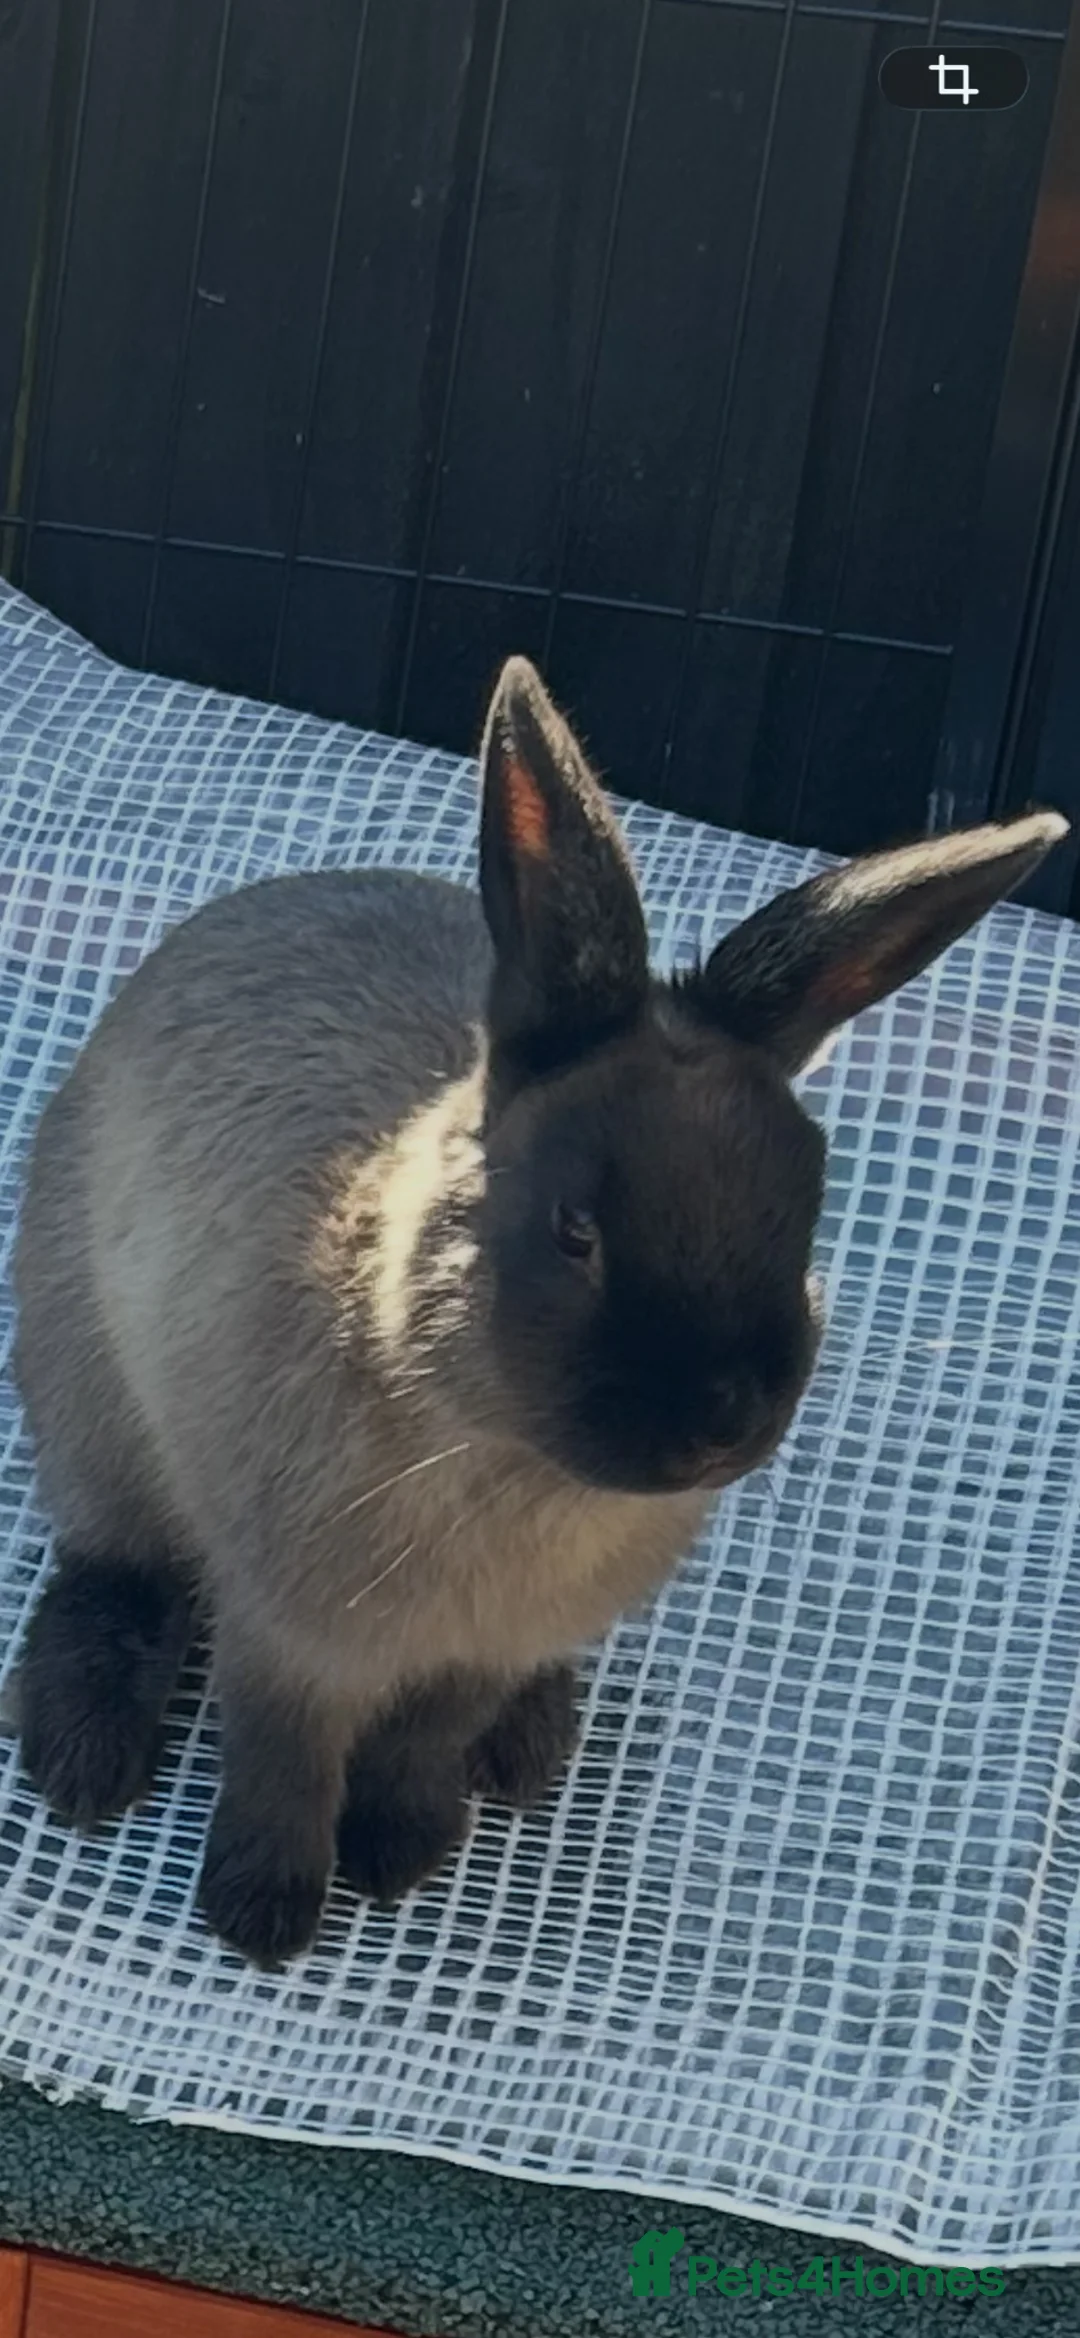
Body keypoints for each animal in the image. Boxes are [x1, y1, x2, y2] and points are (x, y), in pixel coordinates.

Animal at [8, 653, 1066, 1966]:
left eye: (809, 1213)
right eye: (577, 1228)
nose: (719, 1425)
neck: (499, 1454)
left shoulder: (475, 1650)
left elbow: (422, 1741)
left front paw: (403, 1849)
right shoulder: (290, 1636)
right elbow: (280, 1760)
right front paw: (264, 1914)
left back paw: (530, 1744)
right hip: (87, 1402)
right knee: (115, 1570)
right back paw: (82, 1760)